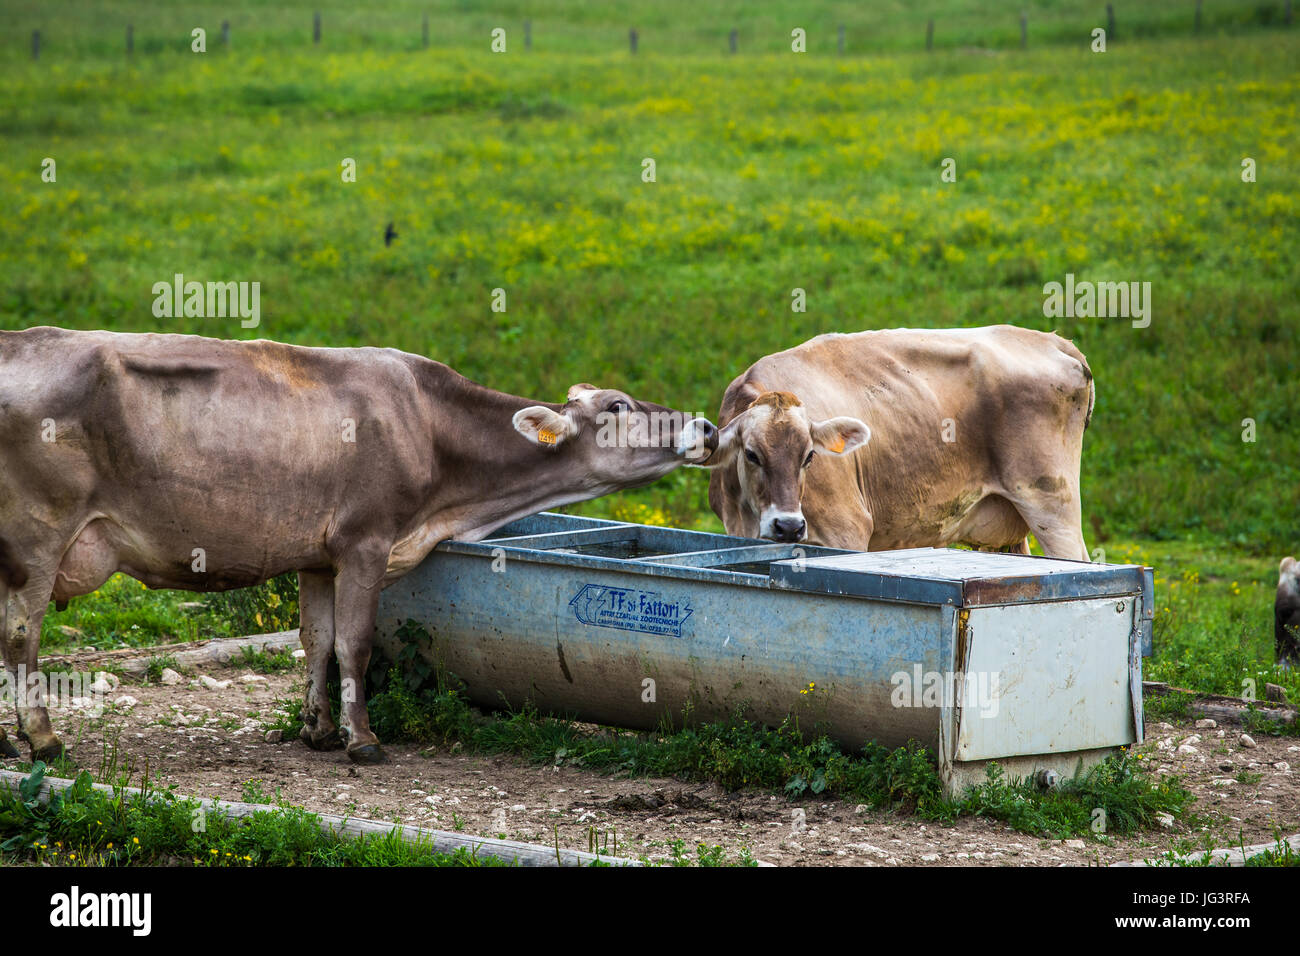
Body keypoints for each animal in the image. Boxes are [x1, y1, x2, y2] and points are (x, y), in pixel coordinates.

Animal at [0, 329, 717, 764]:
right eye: (619, 406)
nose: (706, 425)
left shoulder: (317, 555)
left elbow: (316, 640)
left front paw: (317, 729)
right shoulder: (366, 541)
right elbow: (356, 643)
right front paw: (363, 738)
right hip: (38, 536)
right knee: (21, 637)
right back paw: (41, 739)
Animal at [707, 325, 1092, 556]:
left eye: (809, 457)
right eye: (752, 454)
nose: (788, 526)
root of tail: (1050, 339)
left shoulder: (846, 529)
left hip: (1051, 503)